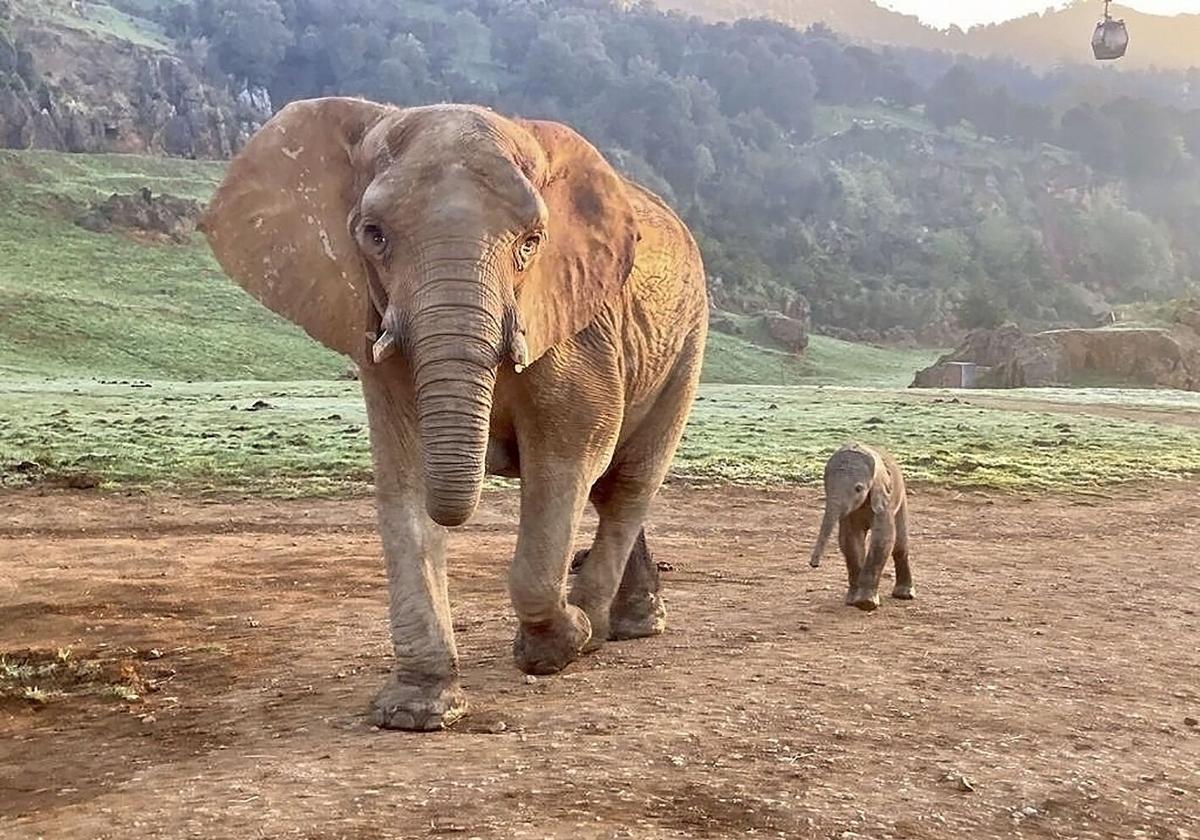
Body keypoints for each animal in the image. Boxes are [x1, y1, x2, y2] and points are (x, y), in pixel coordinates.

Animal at [202, 96, 705, 729]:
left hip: (687, 342)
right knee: (610, 486)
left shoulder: (577, 326)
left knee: (626, 483)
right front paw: (415, 713)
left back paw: (602, 629)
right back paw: (618, 624)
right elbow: (404, 476)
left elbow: (569, 455)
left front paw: (558, 645)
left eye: (531, 242)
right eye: (374, 235)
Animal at [811, 446, 912, 609]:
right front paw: (853, 601)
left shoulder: (884, 500)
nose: (814, 565)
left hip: (901, 497)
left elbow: (883, 538)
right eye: (826, 488)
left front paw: (866, 603)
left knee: (900, 545)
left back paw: (904, 595)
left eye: (858, 489)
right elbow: (850, 540)